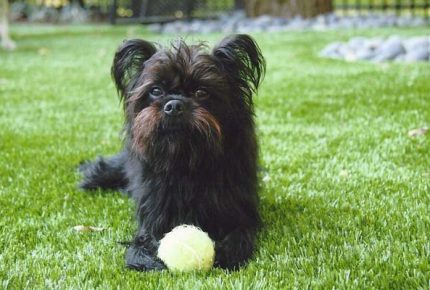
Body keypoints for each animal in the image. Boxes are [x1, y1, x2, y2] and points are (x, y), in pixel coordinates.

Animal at [78, 34, 264, 272]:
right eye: (156, 91)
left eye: (201, 92)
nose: (174, 105)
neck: (185, 161)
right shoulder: (154, 214)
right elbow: (142, 240)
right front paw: (146, 258)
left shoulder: (240, 212)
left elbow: (240, 234)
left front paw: (227, 253)